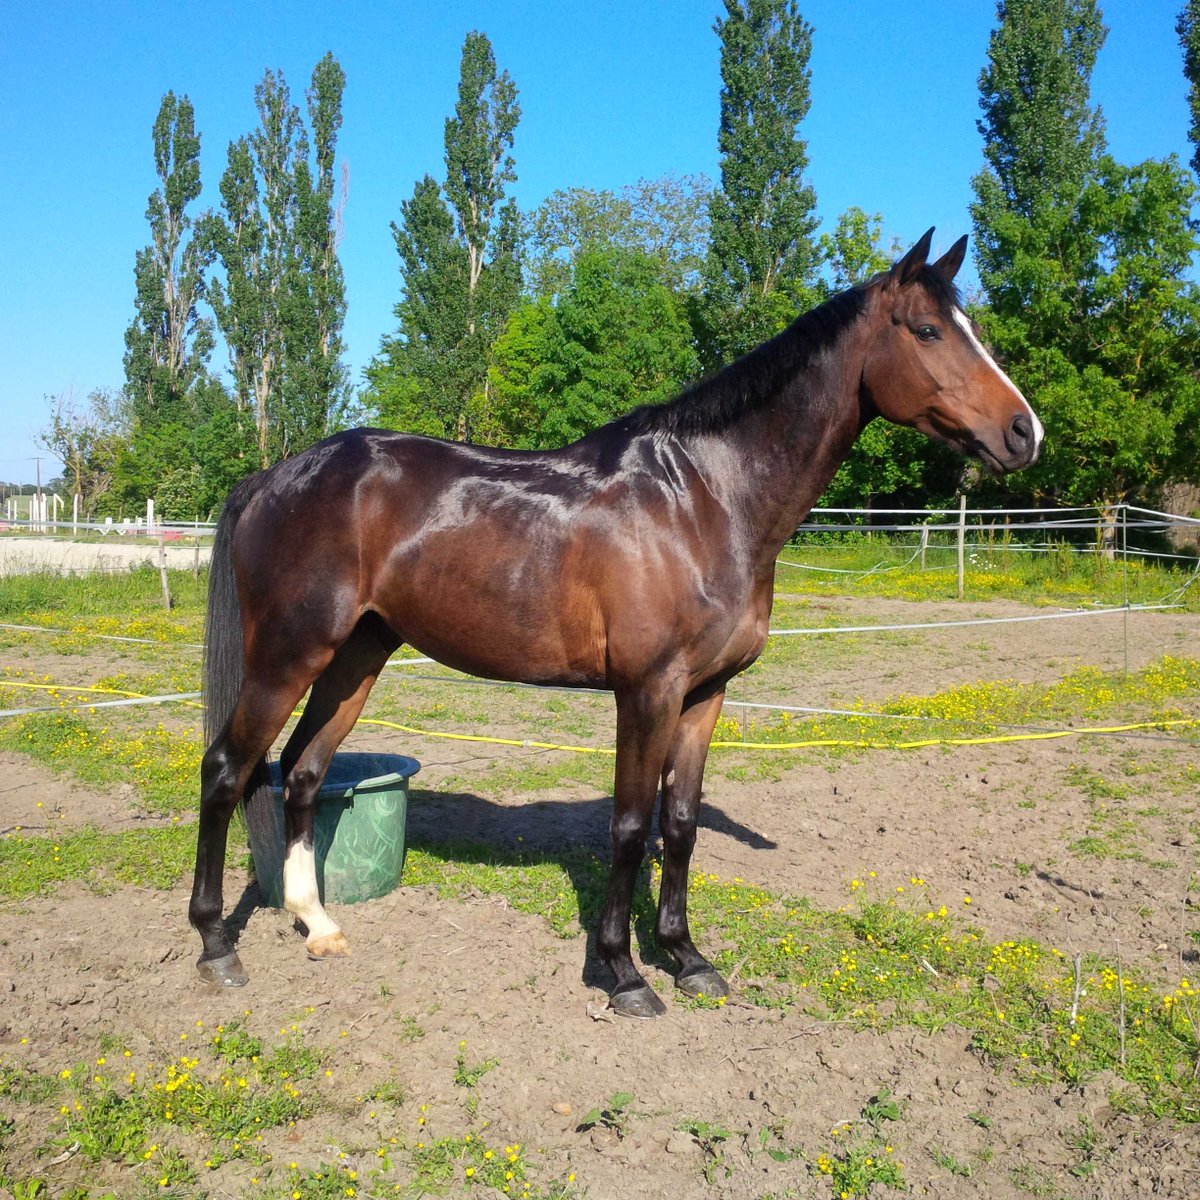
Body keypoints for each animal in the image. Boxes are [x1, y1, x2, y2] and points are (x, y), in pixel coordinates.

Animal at [189, 229, 1041, 1018]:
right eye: (927, 330)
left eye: (969, 326)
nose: (1023, 433)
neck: (703, 500)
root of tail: (273, 476)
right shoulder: (647, 691)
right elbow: (631, 826)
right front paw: (624, 973)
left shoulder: (706, 696)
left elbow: (682, 824)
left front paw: (688, 958)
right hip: (288, 655)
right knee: (227, 770)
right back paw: (215, 945)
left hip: (356, 654)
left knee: (301, 770)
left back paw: (317, 923)